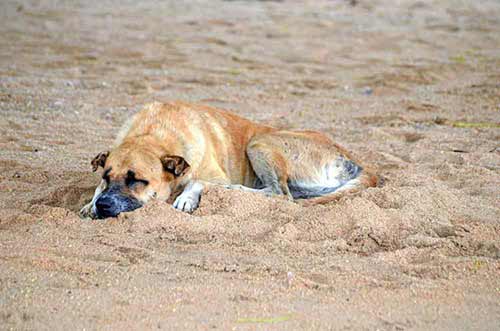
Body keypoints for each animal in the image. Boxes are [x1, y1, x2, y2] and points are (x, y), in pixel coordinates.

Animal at [79, 102, 376, 220]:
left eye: (137, 180)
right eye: (106, 176)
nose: (104, 205)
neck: (154, 133)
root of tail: (359, 162)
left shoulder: (212, 174)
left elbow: (197, 181)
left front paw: (186, 198)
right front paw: (91, 202)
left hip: (259, 143)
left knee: (280, 194)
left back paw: (235, 190)